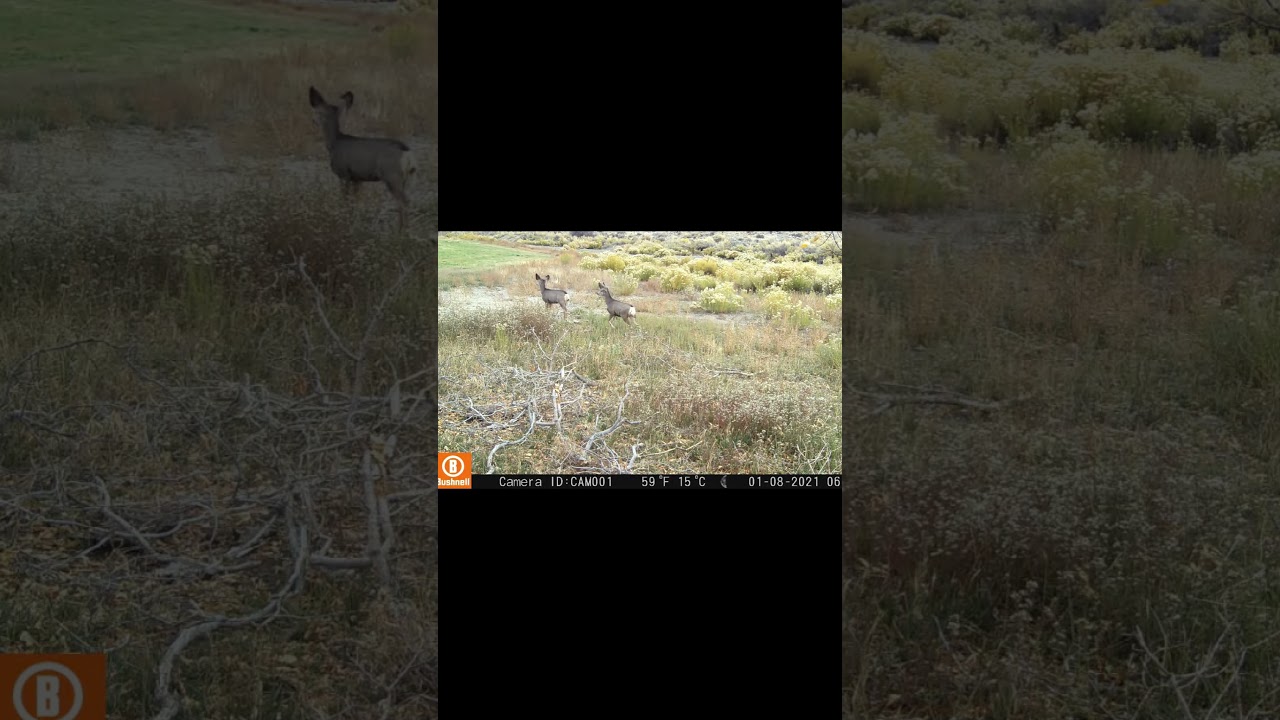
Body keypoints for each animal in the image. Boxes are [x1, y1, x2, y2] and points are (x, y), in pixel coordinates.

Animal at [308, 86, 417, 233]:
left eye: (318, 112)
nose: (313, 121)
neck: (334, 143)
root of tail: (407, 153)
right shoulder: (357, 179)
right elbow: (355, 202)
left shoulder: (343, 174)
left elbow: (345, 200)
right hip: (409, 178)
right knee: (407, 200)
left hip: (392, 176)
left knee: (404, 202)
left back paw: (402, 232)